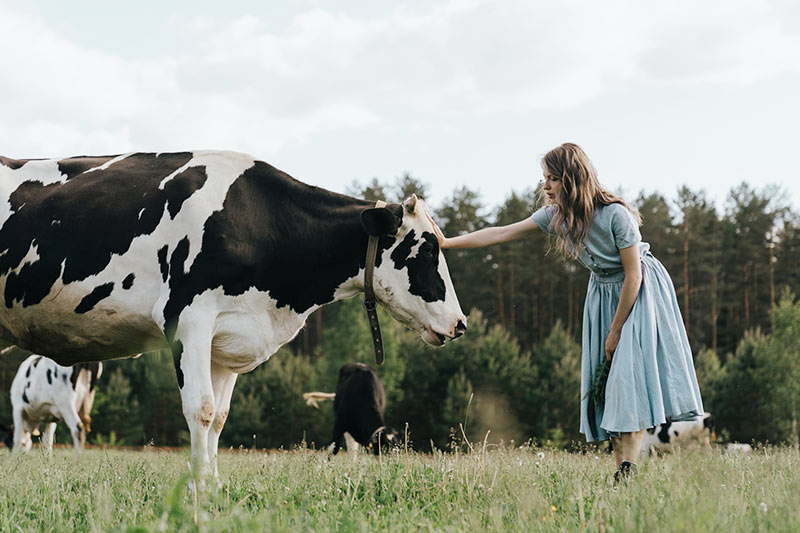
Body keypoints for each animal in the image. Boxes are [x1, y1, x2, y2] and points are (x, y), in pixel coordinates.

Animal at [0, 151, 466, 482]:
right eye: (426, 249)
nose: (460, 323)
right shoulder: (188, 320)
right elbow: (201, 410)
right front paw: (199, 488)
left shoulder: (228, 338)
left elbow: (220, 418)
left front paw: (214, 486)